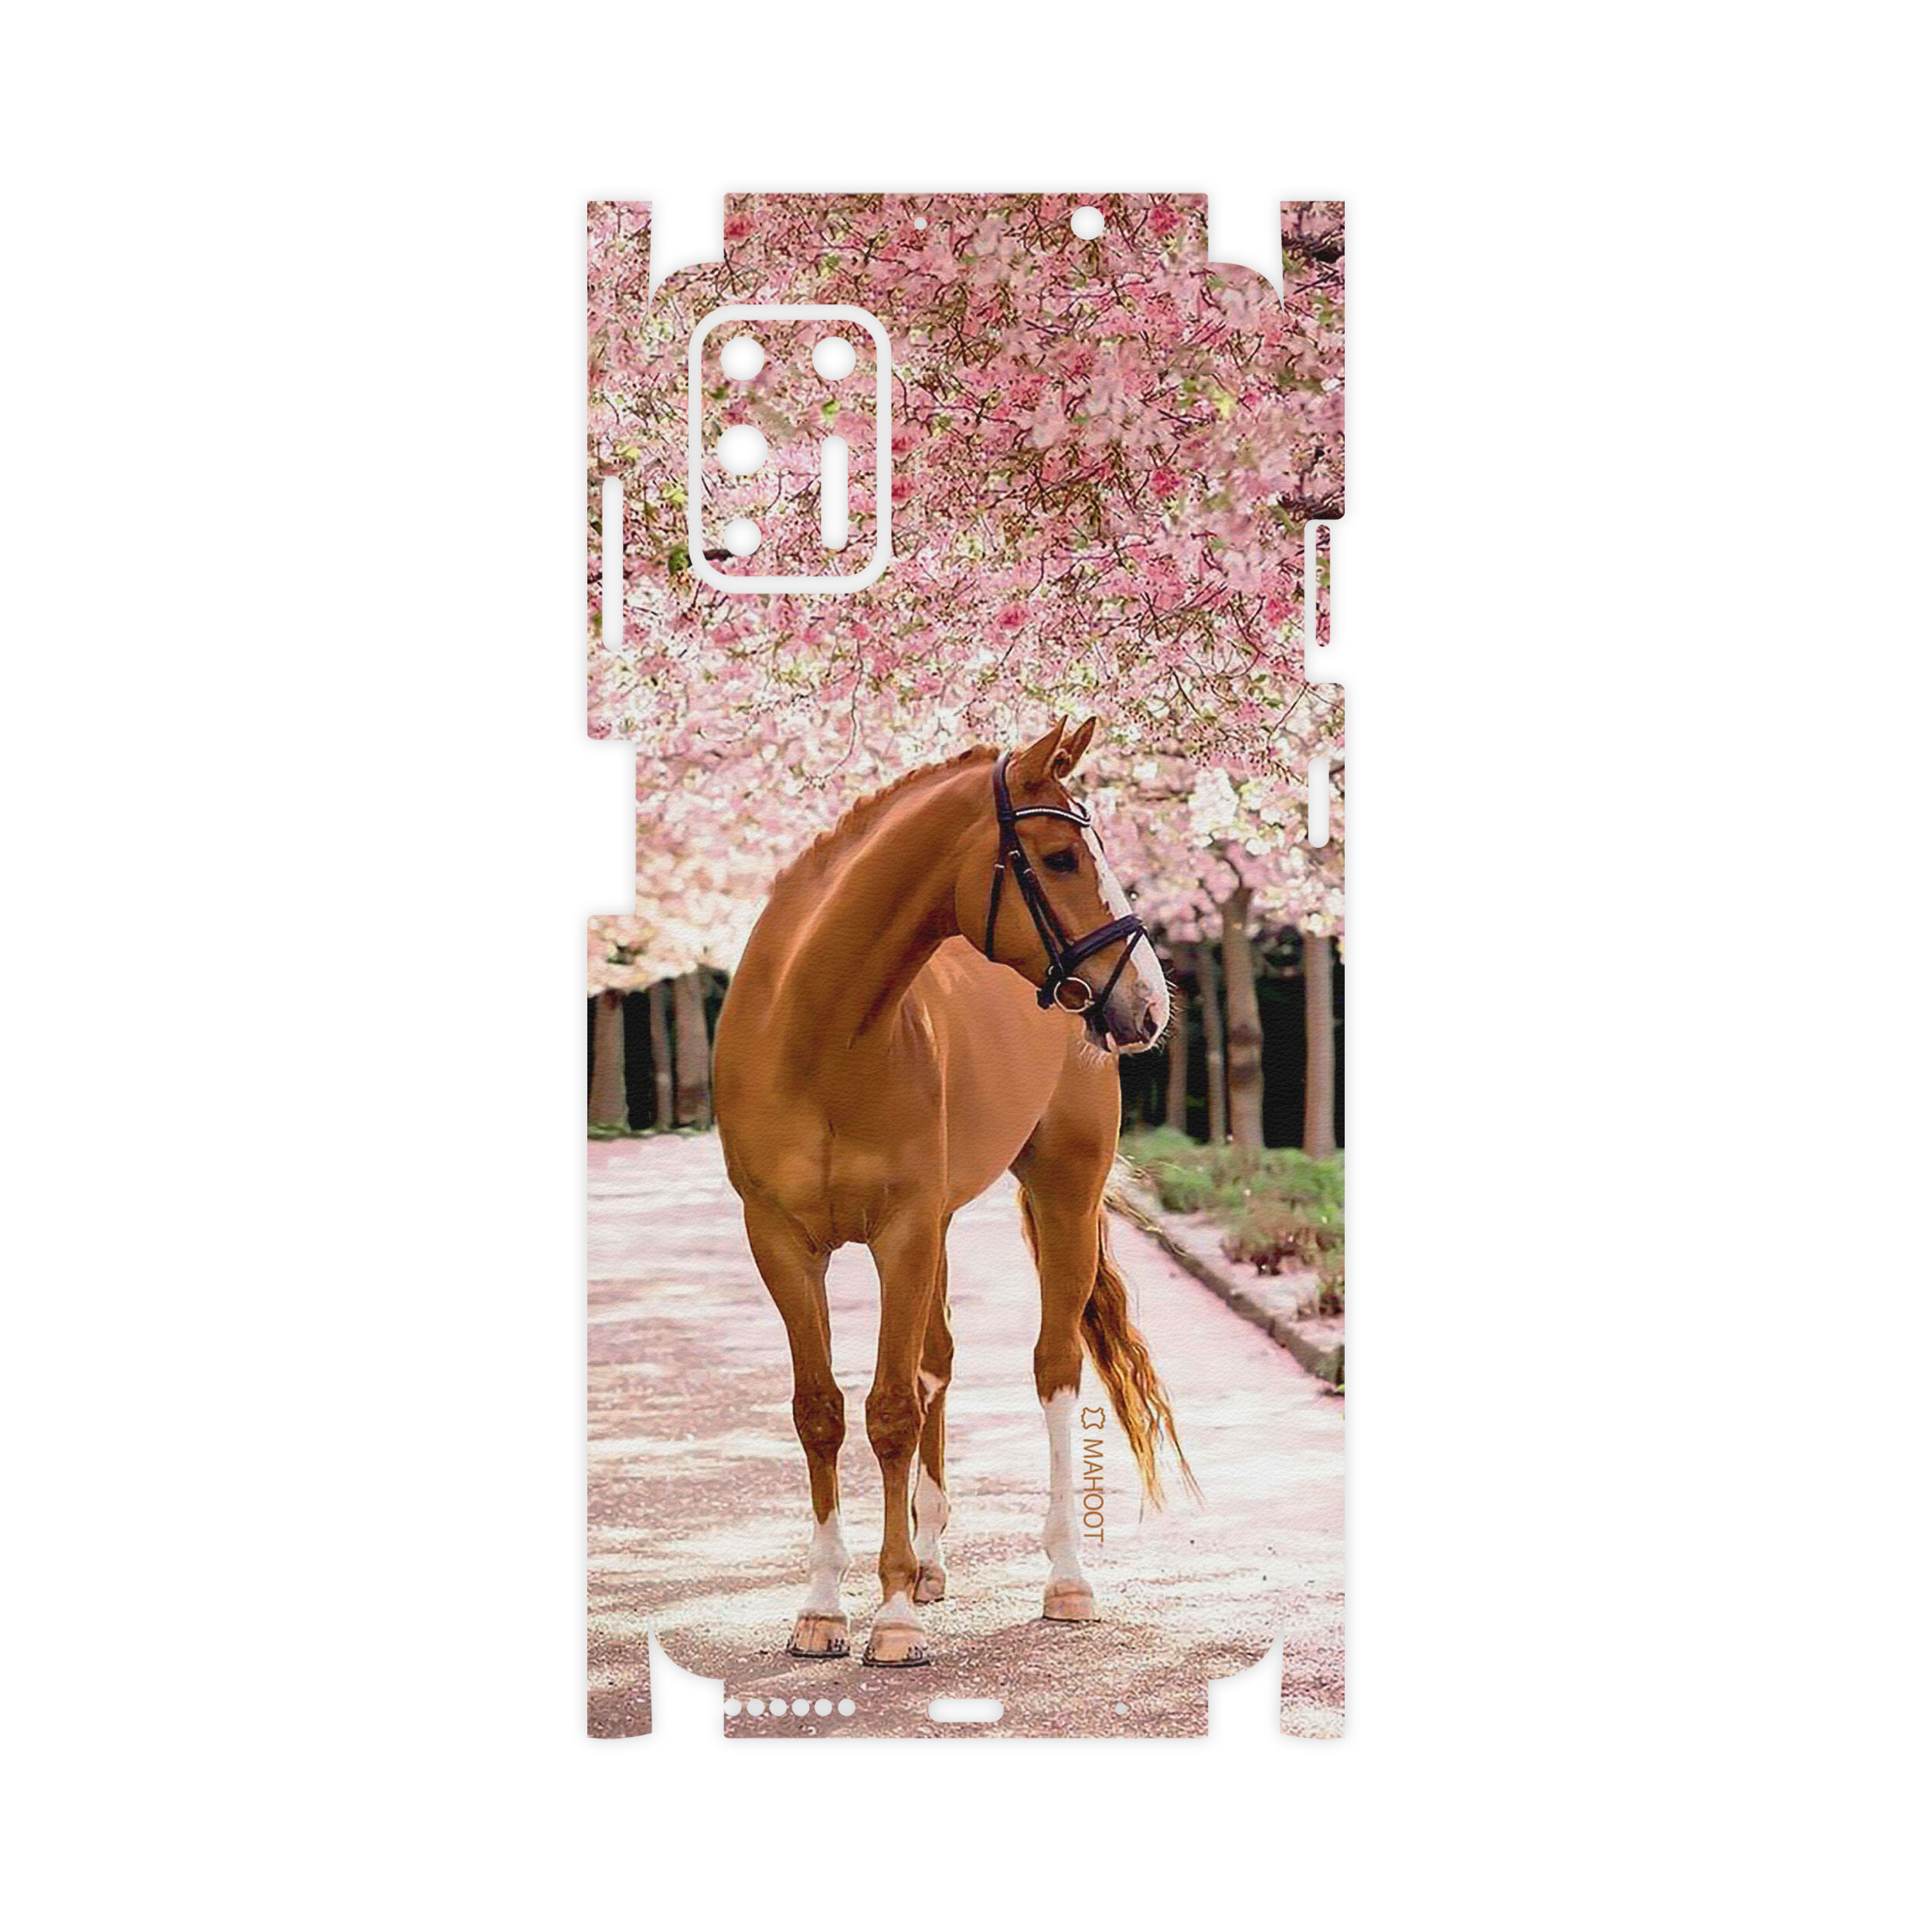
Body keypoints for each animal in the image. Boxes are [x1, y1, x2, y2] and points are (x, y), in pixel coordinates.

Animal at [712, 717, 1193, 1667]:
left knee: (1052, 1368)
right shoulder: (782, 1241)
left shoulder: (901, 1232)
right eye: (1058, 857)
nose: (1150, 1004)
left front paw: (892, 1617)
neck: (817, 1033)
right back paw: (931, 1562)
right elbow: (822, 1411)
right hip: (937, 1227)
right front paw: (823, 1608)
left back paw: (1065, 1578)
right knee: (937, 1362)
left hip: (1062, 1194)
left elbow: (892, 1410)